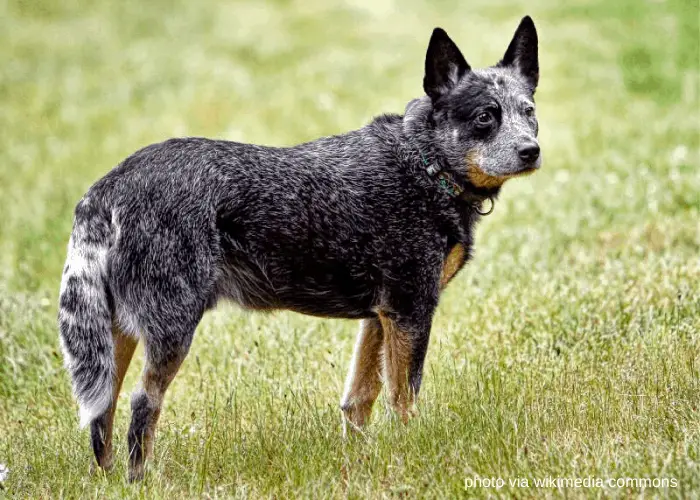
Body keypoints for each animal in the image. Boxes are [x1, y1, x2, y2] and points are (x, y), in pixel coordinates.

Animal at [58, 17, 540, 482]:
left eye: (529, 112)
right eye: (485, 116)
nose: (532, 151)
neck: (425, 165)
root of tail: (110, 185)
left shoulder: (379, 317)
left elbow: (360, 400)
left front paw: (359, 465)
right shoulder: (411, 309)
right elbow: (402, 399)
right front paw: (410, 456)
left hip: (113, 334)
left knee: (104, 408)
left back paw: (106, 479)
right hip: (172, 326)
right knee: (143, 403)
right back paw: (141, 479)